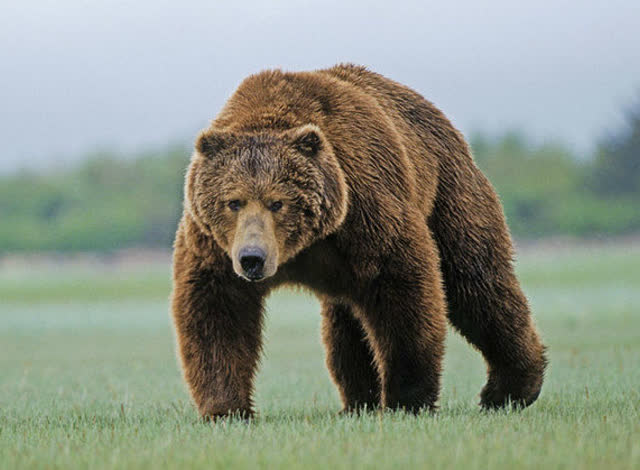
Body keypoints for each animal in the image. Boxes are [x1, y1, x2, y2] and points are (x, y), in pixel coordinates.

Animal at [170, 62, 544, 418]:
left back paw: (510, 389)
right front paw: (226, 407)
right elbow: (218, 311)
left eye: (278, 202)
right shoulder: (214, 245)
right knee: (346, 324)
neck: (304, 246)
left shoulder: (366, 209)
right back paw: (358, 401)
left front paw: (407, 399)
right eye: (233, 201)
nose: (252, 258)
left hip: (448, 193)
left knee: (476, 282)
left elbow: (404, 293)